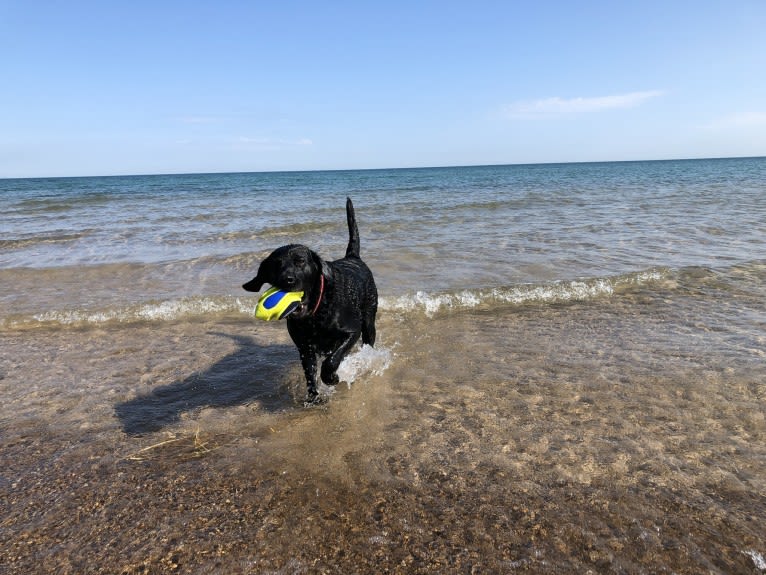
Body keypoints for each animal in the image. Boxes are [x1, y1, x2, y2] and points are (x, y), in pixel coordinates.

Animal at [243, 199, 378, 404]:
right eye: (275, 265)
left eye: (300, 261)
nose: (286, 279)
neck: (317, 311)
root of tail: (352, 257)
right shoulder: (304, 346)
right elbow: (310, 372)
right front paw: (314, 397)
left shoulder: (351, 331)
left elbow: (331, 361)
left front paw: (332, 378)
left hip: (369, 321)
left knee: (368, 341)